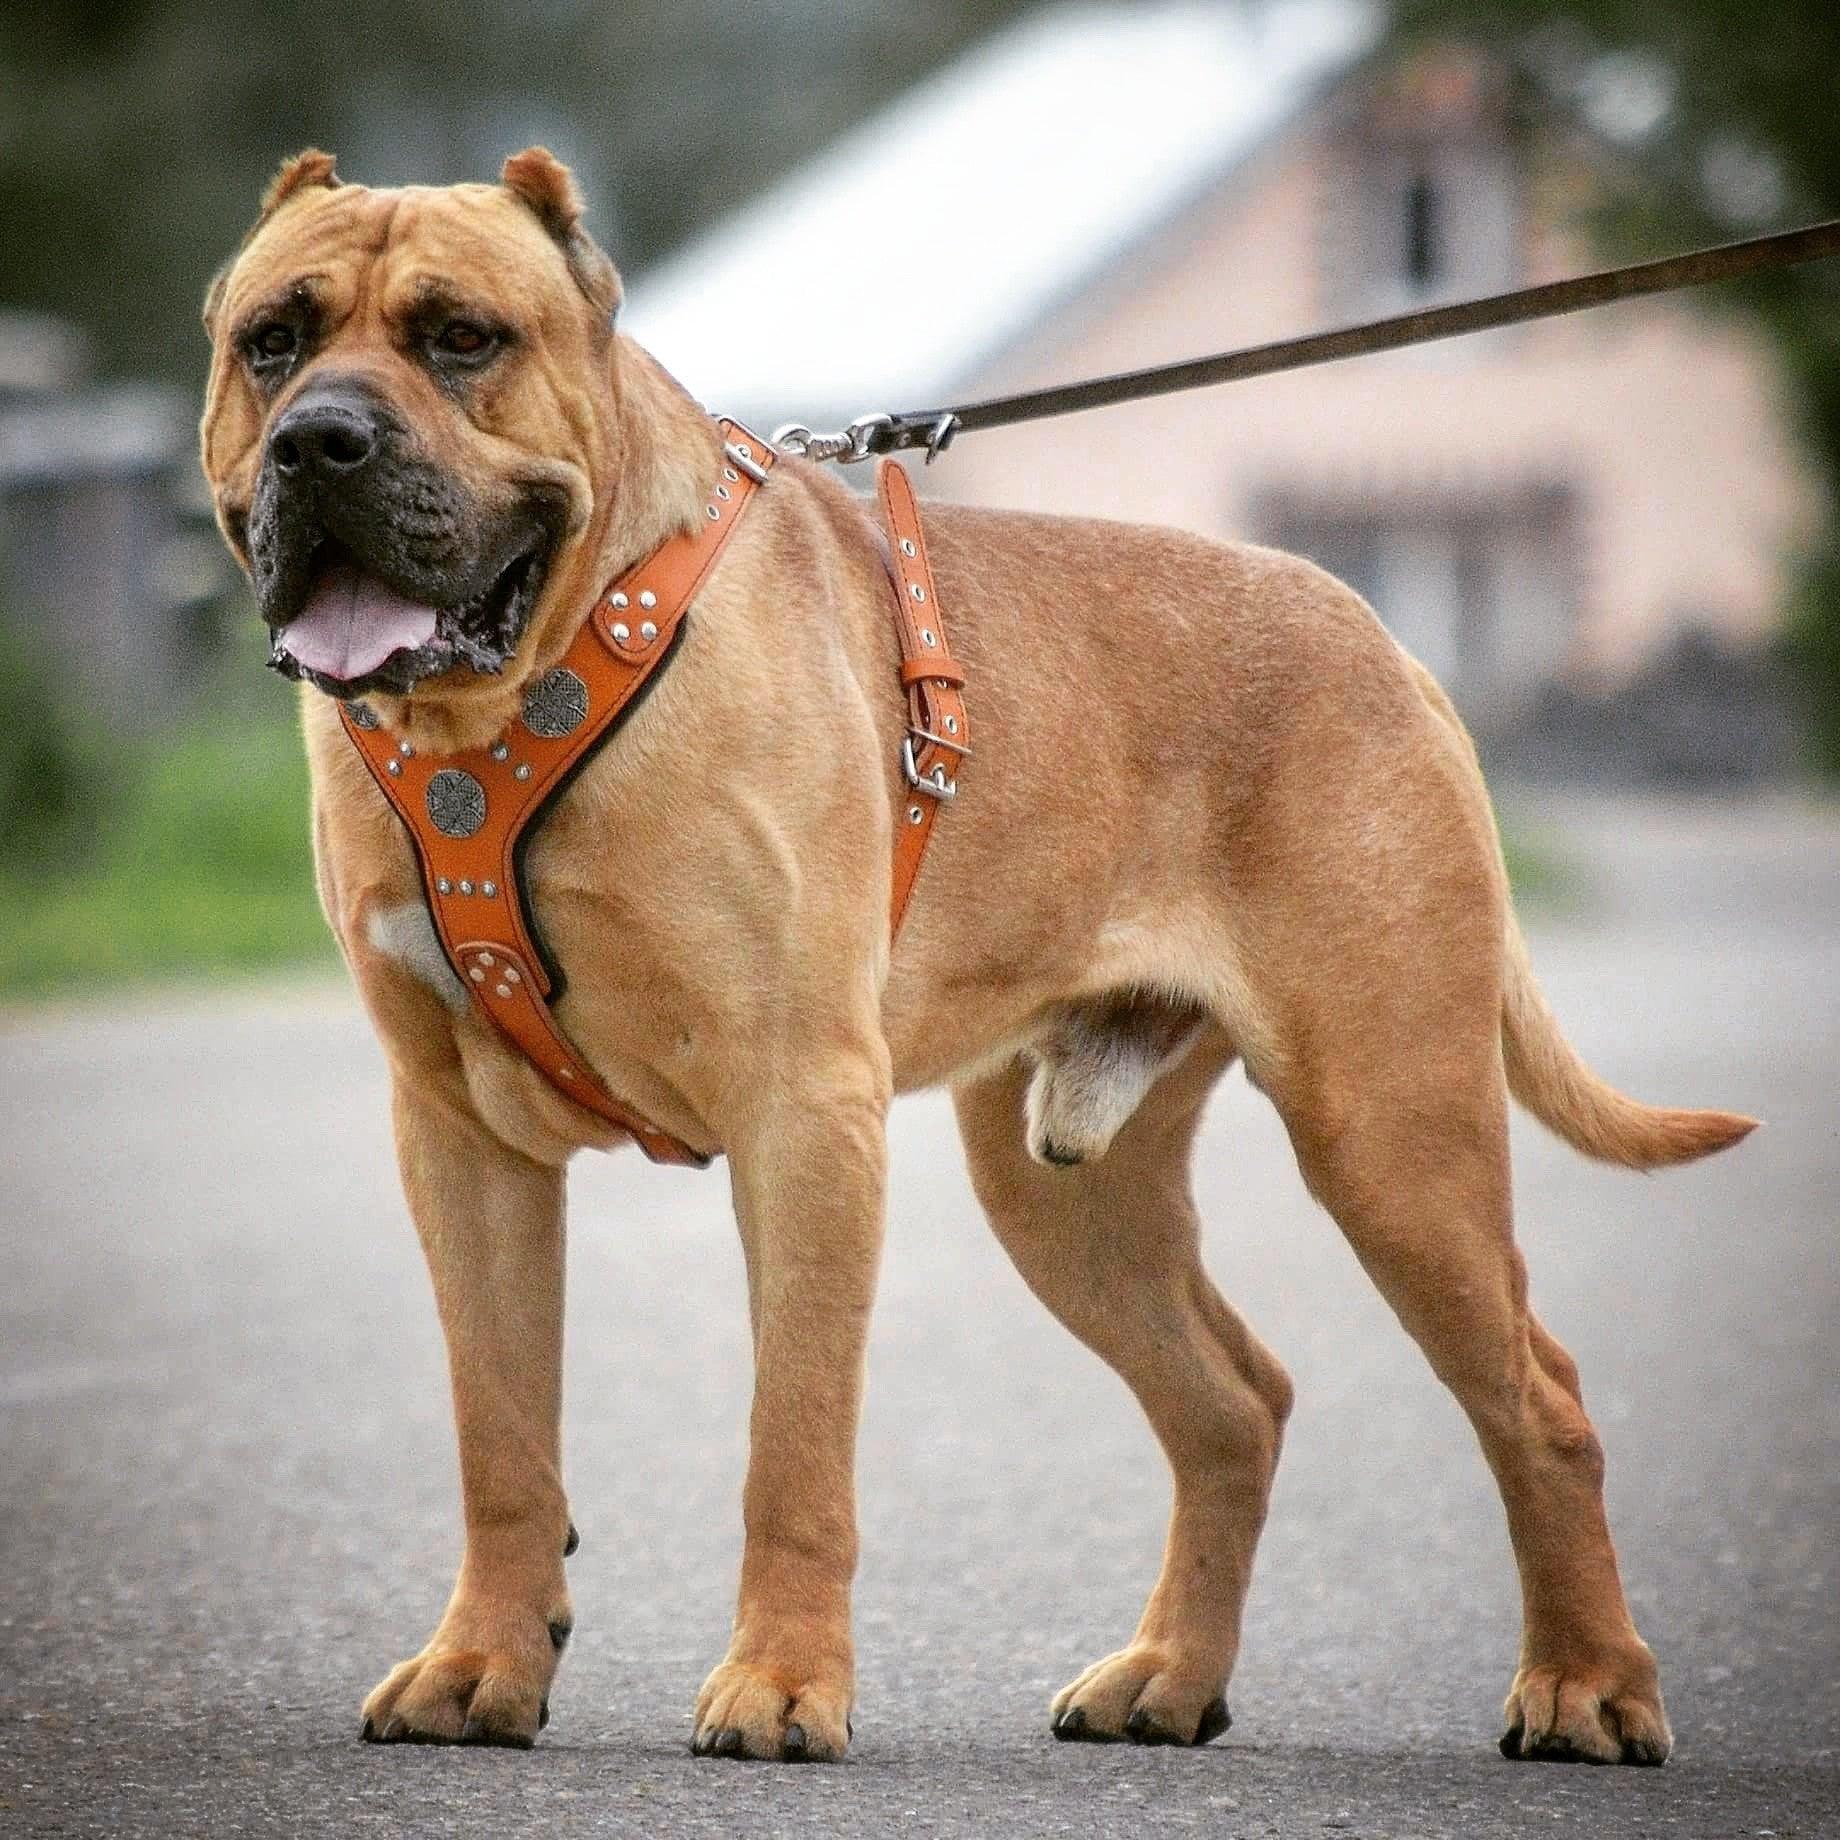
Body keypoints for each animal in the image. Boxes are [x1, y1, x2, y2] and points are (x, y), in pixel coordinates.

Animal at [197, 150, 1751, 1759]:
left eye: (462, 339)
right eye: (271, 341)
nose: (319, 440)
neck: (514, 699)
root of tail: (1388, 640)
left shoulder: (804, 1113)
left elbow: (793, 1441)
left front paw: (783, 1684)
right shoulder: (459, 1139)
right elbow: (499, 1434)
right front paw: (481, 1664)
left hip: (1390, 1130)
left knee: (1539, 1402)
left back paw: (1585, 1686)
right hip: (1065, 1192)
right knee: (1235, 1401)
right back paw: (1167, 1678)